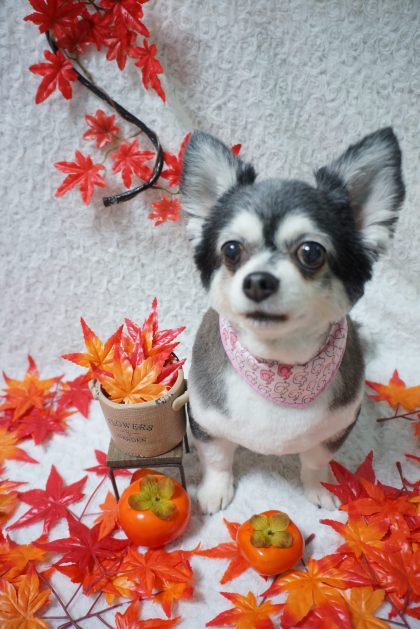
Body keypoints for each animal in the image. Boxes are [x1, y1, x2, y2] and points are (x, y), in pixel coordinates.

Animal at [180, 128, 404, 513]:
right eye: (231, 250)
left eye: (311, 252)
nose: (257, 281)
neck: (278, 367)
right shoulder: (208, 420)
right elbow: (218, 458)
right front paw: (215, 490)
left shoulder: (336, 428)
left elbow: (315, 461)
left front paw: (319, 488)